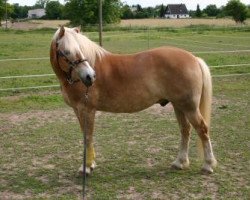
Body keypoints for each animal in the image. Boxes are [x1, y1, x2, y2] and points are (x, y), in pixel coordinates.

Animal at [49, 26, 217, 175]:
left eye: (80, 49)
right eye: (66, 52)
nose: (90, 76)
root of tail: (193, 58)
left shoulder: (87, 110)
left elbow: (88, 137)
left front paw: (87, 168)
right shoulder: (78, 110)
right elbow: (86, 136)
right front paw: (90, 165)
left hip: (189, 108)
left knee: (202, 129)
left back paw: (208, 165)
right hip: (179, 106)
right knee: (185, 130)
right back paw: (179, 162)